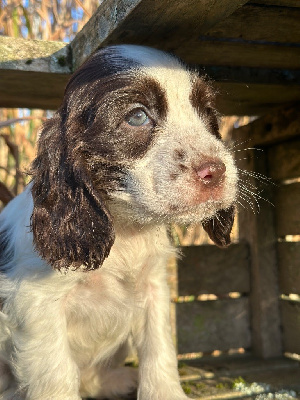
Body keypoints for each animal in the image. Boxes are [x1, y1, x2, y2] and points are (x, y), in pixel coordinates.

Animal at [0, 45, 237, 398]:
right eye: (137, 116)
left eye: (207, 114)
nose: (216, 171)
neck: (126, 228)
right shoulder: (38, 303)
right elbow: (56, 373)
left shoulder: (153, 287)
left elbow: (159, 348)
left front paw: (164, 391)